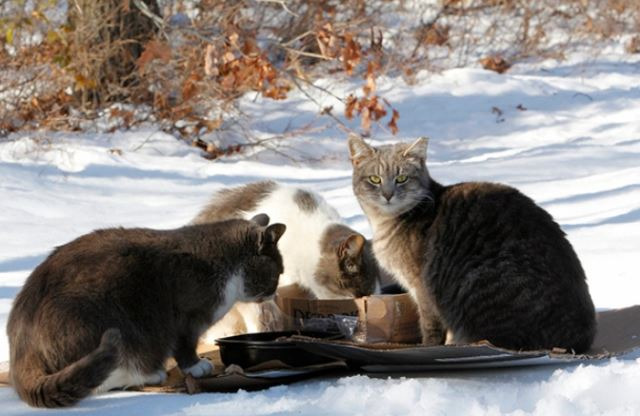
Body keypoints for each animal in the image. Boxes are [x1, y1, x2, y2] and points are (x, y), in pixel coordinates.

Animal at [6, 214, 284, 406]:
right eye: (278, 272)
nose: (276, 292)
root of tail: (21, 345)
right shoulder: (186, 317)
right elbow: (185, 345)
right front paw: (196, 366)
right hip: (103, 325)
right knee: (101, 379)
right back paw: (151, 375)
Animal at [348, 134, 596, 354]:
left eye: (402, 179)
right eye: (375, 179)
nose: (388, 194)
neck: (385, 222)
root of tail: (580, 340)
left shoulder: (422, 287)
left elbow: (431, 326)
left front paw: (429, 346)